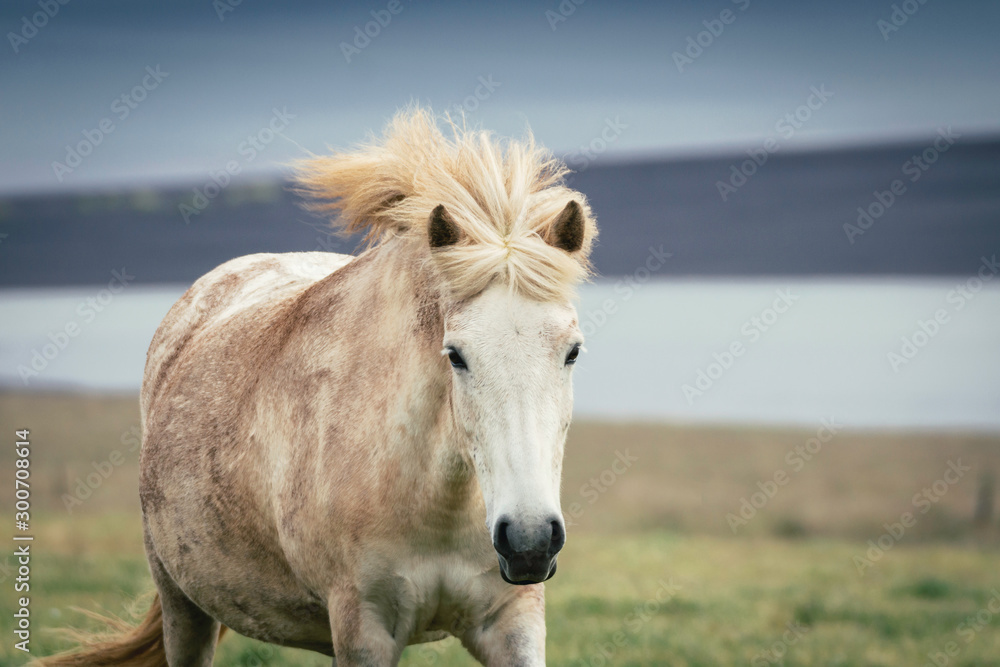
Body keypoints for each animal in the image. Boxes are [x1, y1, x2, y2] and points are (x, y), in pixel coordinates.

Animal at [38, 108, 598, 667]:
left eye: (572, 351)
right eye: (456, 356)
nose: (528, 540)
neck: (435, 501)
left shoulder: (511, 623)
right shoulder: (363, 628)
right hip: (183, 607)